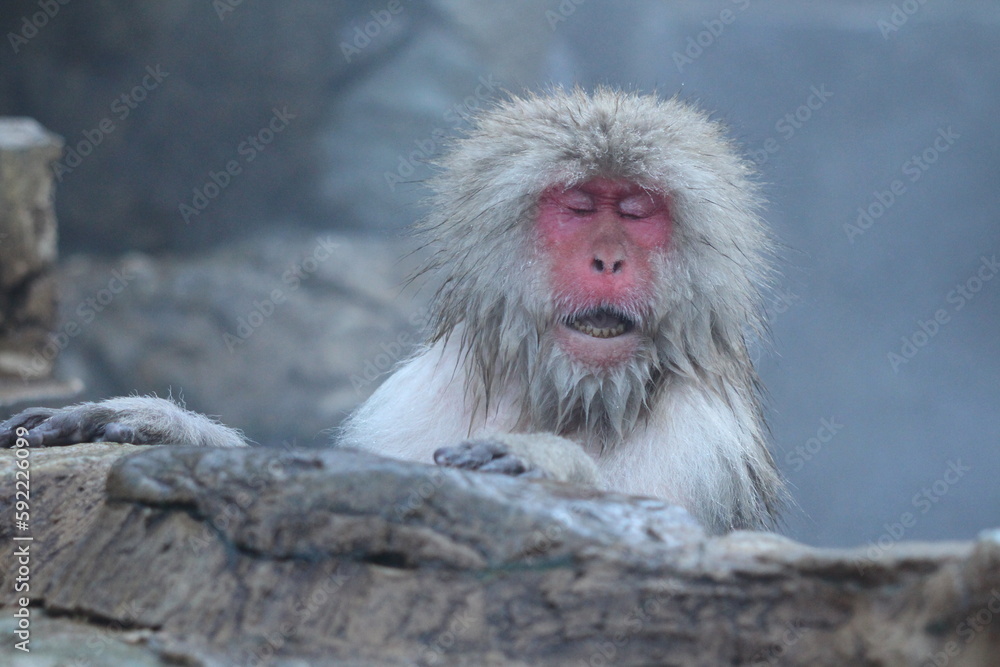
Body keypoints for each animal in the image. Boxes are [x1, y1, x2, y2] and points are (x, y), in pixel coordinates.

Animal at [0, 88, 784, 534]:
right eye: (581, 207)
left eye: (637, 212)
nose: (609, 260)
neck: (569, 394)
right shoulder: (422, 391)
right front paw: (157, 423)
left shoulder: (702, 437)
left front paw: (544, 461)